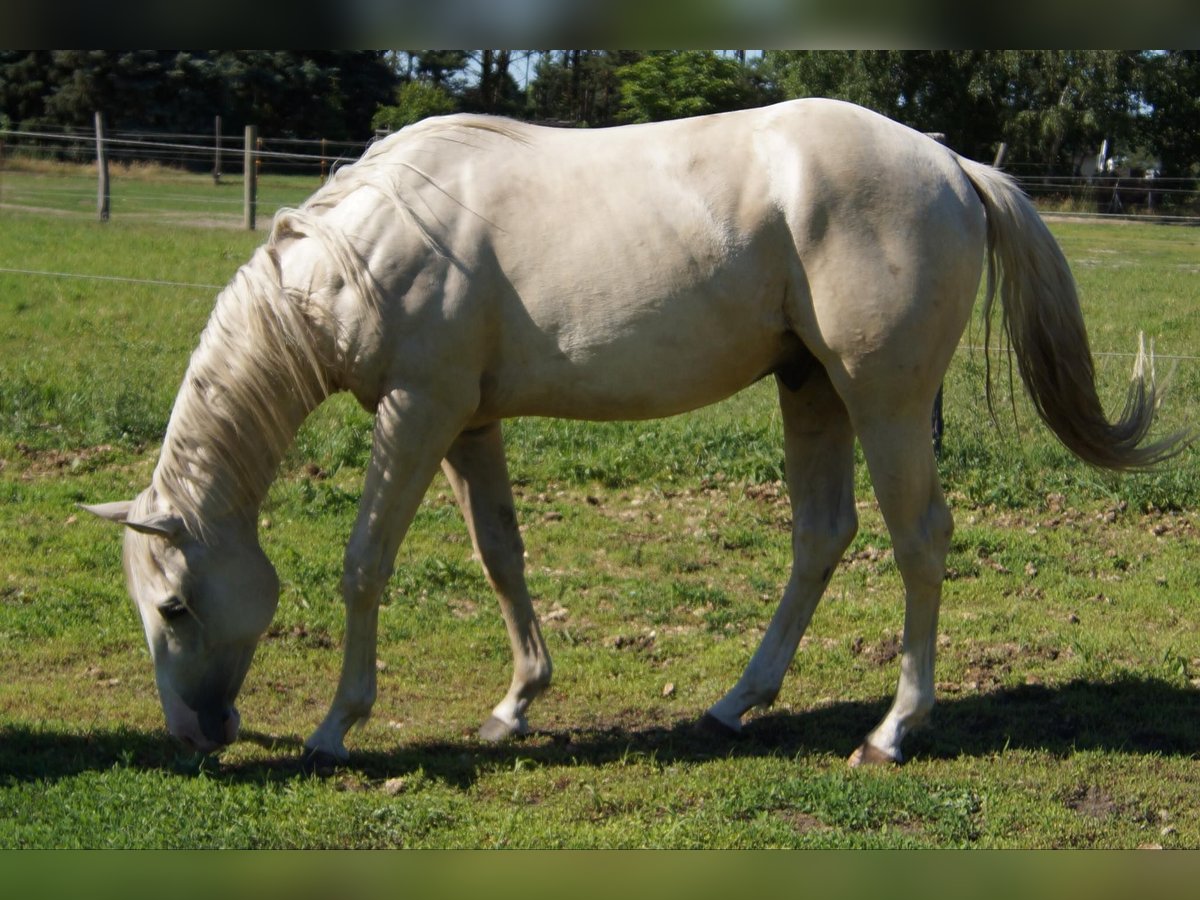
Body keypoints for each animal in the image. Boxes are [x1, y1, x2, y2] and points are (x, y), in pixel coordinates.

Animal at [87, 102, 1180, 772]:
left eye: (175, 607)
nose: (196, 735)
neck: (366, 248)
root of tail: (951, 162)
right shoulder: (468, 421)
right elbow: (500, 555)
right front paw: (515, 703)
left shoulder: (417, 410)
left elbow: (365, 564)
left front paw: (332, 727)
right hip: (813, 389)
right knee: (821, 536)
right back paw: (737, 702)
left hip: (885, 401)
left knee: (920, 542)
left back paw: (893, 730)